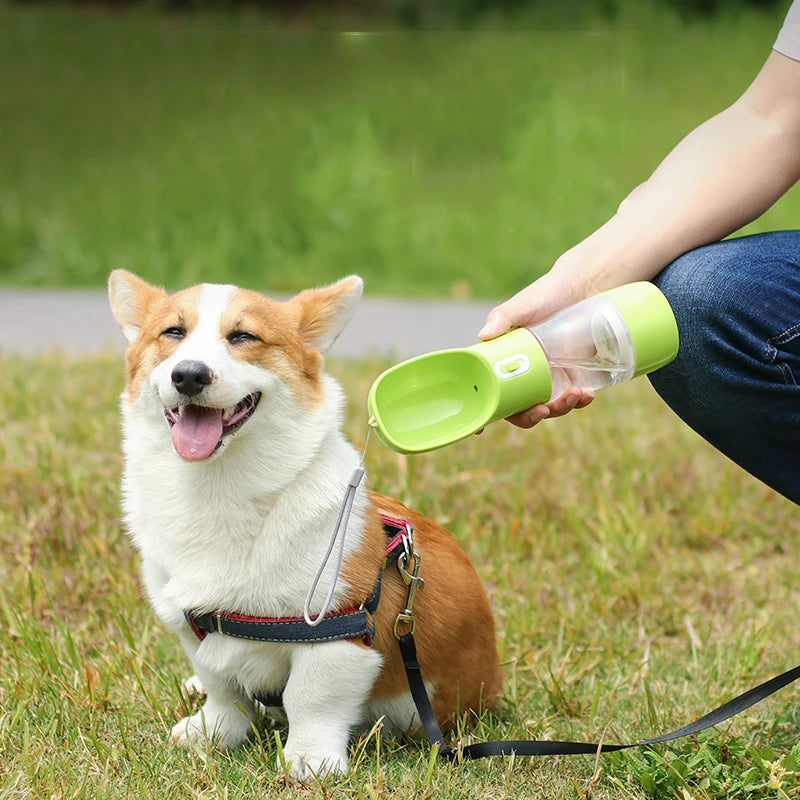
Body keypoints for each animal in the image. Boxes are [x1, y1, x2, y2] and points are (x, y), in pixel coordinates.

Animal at [108, 272, 500, 780]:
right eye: (173, 332)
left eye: (243, 336)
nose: (189, 374)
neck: (218, 488)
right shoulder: (192, 626)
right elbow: (223, 689)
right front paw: (212, 732)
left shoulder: (335, 632)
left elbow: (310, 698)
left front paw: (309, 761)